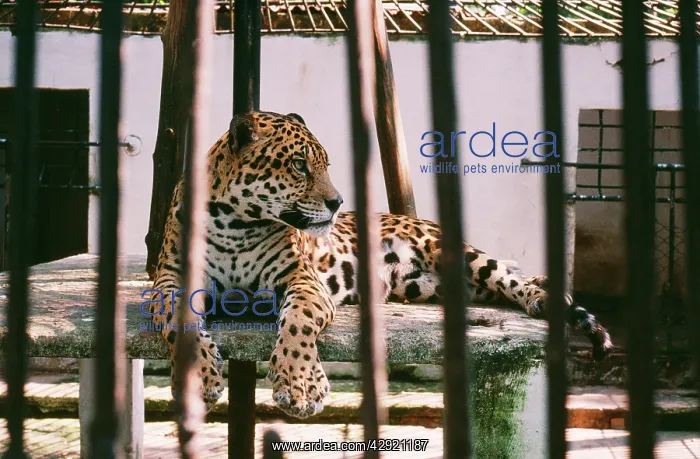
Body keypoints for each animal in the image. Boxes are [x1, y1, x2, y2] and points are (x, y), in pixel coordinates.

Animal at [148, 110, 614, 419]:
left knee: (509, 277)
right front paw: (200, 377)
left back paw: (545, 299)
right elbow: (180, 322)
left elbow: (296, 324)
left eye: (325, 164)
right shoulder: (170, 279)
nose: (337, 202)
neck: (237, 222)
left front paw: (300, 386)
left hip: (453, 252)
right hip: (431, 286)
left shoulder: (302, 280)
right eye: (299, 165)